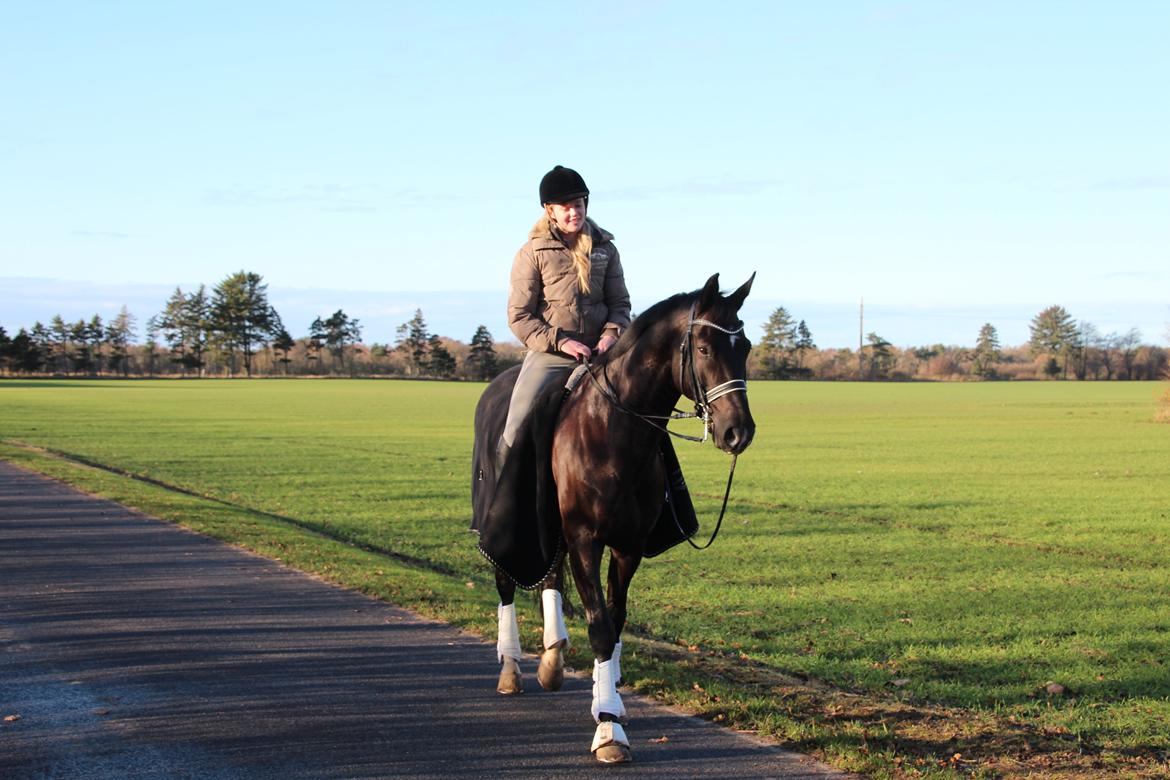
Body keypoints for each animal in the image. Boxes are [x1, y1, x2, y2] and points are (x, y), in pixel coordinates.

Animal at [472, 273, 758, 762]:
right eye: (703, 348)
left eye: (747, 348)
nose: (738, 432)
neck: (613, 431)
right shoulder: (584, 539)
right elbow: (601, 628)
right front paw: (608, 730)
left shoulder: (627, 547)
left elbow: (616, 618)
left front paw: (608, 701)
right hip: (511, 525)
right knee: (507, 581)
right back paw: (511, 667)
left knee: (549, 578)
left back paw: (552, 658)